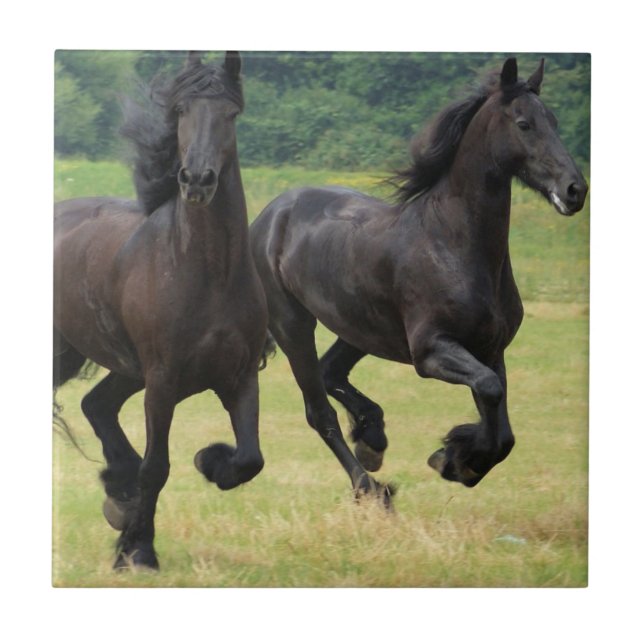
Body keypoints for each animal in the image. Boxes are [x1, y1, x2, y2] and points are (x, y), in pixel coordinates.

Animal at [53, 51, 269, 570]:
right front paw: (139, 551)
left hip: (127, 367)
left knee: (97, 405)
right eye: (181, 111)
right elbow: (157, 467)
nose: (196, 180)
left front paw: (210, 461)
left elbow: (250, 459)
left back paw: (118, 491)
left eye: (231, 114)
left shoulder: (239, 377)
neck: (208, 273)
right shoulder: (163, 381)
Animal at [249, 58, 588, 503]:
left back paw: (373, 437)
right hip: (295, 327)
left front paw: (458, 459)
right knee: (318, 410)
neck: (452, 245)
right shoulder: (431, 351)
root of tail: (269, 216)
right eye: (524, 124)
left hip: (360, 328)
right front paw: (453, 457)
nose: (575, 190)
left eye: (554, 120)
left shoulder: (490, 349)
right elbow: (490, 392)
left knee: (330, 372)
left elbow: (502, 429)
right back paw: (371, 488)